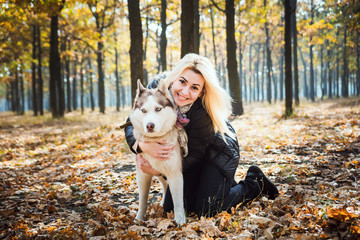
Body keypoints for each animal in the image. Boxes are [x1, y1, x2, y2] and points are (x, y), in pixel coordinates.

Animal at [129, 79, 186, 226]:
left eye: (158, 109)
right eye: (143, 110)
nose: (150, 125)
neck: (155, 141)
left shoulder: (175, 173)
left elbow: (178, 200)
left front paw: (180, 220)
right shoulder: (143, 174)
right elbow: (142, 199)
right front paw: (139, 218)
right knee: (165, 185)